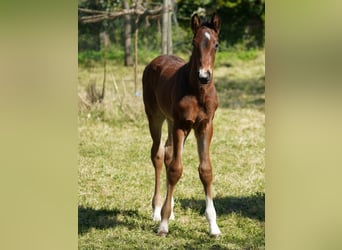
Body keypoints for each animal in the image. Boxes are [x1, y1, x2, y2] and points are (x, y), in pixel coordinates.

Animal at [142, 13, 220, 236]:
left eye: (216, 44)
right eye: (194, 43)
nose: (204, 76)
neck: (198, 92)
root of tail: (158, 59)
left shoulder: (205, 126)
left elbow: (206, 170)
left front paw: (214, 226)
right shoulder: (180, 125)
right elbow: (176, 169)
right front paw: (163, 225)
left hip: (171, 121)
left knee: (168, 152)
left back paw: (170, 210)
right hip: (156, 116)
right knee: (158, 155)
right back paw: (157, 210)